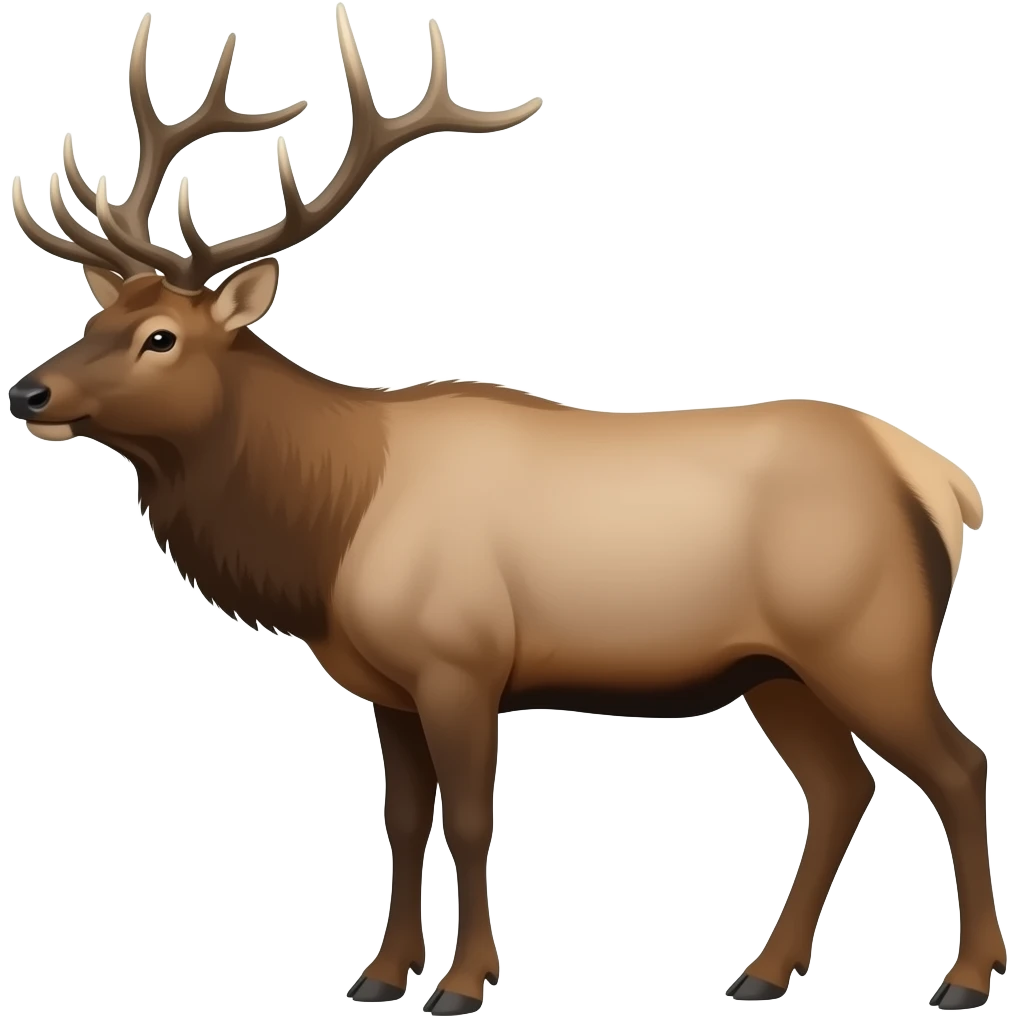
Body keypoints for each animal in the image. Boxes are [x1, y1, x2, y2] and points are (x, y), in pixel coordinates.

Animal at [6, 7, 1003, 1015]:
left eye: (159, 338)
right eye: (92, 322)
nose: (28, 392)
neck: (328, 531)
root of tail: (943, 483)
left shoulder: (461, 661)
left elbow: (471, 820)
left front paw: (463, 981)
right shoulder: (389, 684)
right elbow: (403, 819)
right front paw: (381, 973)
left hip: (868, 643)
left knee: (959, 765)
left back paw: (964, 977)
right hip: (777, 670)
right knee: (842, 787)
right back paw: (764, 969)